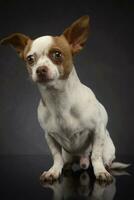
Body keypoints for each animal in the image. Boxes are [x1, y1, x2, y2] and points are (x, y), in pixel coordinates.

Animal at [0, 15, 129, 183]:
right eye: (30, 59)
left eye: (57, 54)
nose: (40, 69)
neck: (58, 99)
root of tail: (81, 160)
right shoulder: (49, 136)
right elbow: (56, 157)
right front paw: (54, 171)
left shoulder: (97, 130)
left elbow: (96, 155)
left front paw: (100, 171)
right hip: (68, 155)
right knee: (65, 160)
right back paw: (66, 167)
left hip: (108, 149)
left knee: (103, 158)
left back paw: (104, 166)